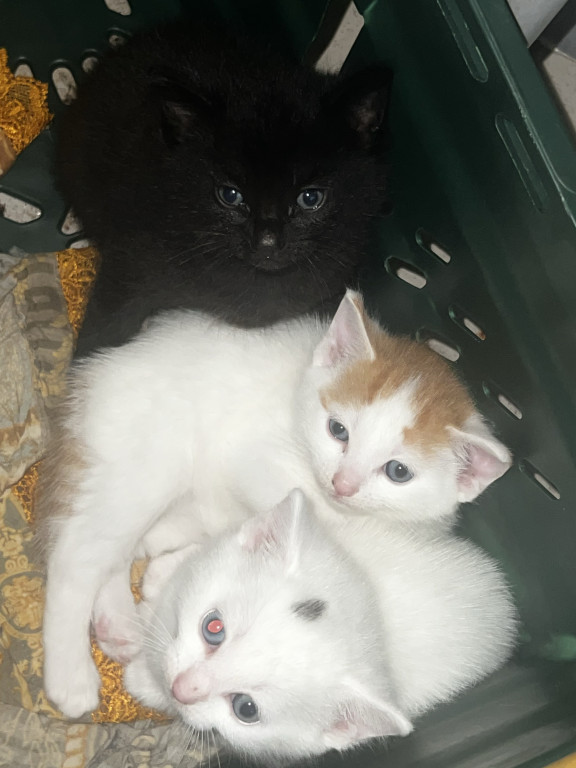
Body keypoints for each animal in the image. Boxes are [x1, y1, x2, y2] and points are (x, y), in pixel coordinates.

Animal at [38, 290, 512, 719]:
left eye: (398, 471)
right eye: (337, 430)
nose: (342, 484)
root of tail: (99, 370)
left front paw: (168, 562)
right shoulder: (253, 457)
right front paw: (171, 568)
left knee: (113, 545)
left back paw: (117, 621)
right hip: (147, 456)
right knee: (77, 554)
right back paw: (71, 674)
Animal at [122, 489, 517, 762]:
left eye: (246, 709)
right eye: (213, 627)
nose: (182, 688)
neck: (367, 592)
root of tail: (503, 600)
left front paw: (142, 680)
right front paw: (162, 576)